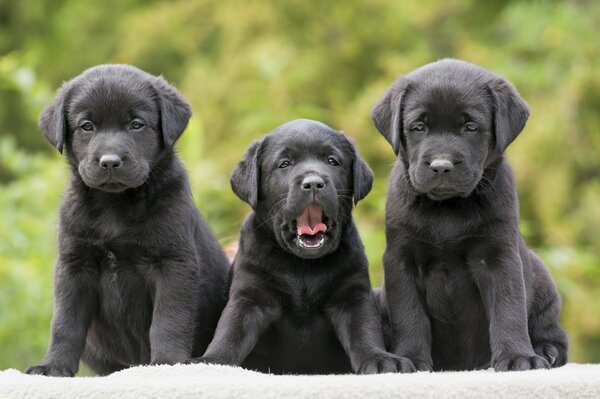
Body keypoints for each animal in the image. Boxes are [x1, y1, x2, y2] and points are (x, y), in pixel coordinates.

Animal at [25, 64, 230, 376]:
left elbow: (168, 320)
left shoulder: (173, 263)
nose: (110, 161)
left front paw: (167, 361)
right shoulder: (74, 264)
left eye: (136, 124)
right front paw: (54, 365)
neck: (116, 205)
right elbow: (65, 322)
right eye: (87, 126)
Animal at [191, 119, 412, 376]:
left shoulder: (352, 295)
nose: (314, 183)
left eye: (332, 161)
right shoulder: (250, 295)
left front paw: (379, 358)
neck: (302, 265)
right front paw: (210, 360)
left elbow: (364, 330)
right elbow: (230, 331)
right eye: (284, 164)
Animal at [370, 58, 568, 372]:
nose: (441, 165)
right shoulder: (402, 259)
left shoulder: (499, 255)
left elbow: (508, 310)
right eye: (419, 127)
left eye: (471, 127)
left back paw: (546, 350)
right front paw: (410, 358)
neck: (447, 207)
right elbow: (409, 315)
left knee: (555, 335)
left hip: (543, 282)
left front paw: (517, 356)